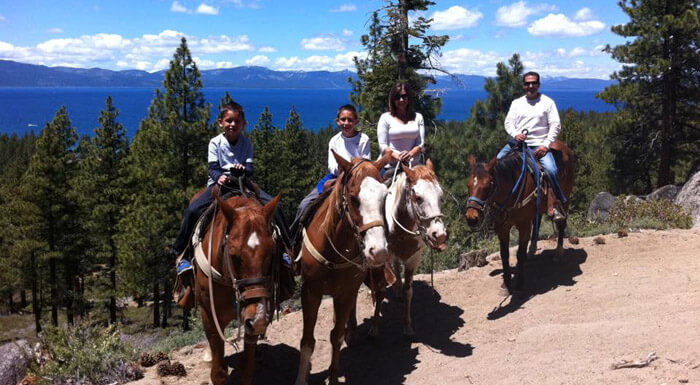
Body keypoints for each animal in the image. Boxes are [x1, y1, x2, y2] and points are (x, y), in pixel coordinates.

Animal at [194, 185, 282, 384]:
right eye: (234, 255)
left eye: (272, 253)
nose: (258, 319)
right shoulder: (209, 315)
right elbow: (218, 372)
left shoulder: (251, 318)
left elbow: (248, 367)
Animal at [294, 152, 394, 384]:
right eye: (354, 197)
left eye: (384, 197)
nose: (378, 251)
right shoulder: (310, 291)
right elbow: (308, 340)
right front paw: (301, 378)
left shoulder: (345, 291)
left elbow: (336, 335)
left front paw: (333, 375)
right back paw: (353, 331)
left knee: (379, 293)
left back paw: (373, 330)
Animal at [464, 141, 576, 294]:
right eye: (468, 184)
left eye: (488, 185)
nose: (471, 218)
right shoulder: (501, 227)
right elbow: (504, 254)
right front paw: (506, 285)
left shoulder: (523, 225)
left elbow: (520, 254)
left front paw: (519, 284)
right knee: (537, 221)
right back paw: (532, 251)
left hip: (566, 198)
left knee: (561, 224)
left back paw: (558, 254)